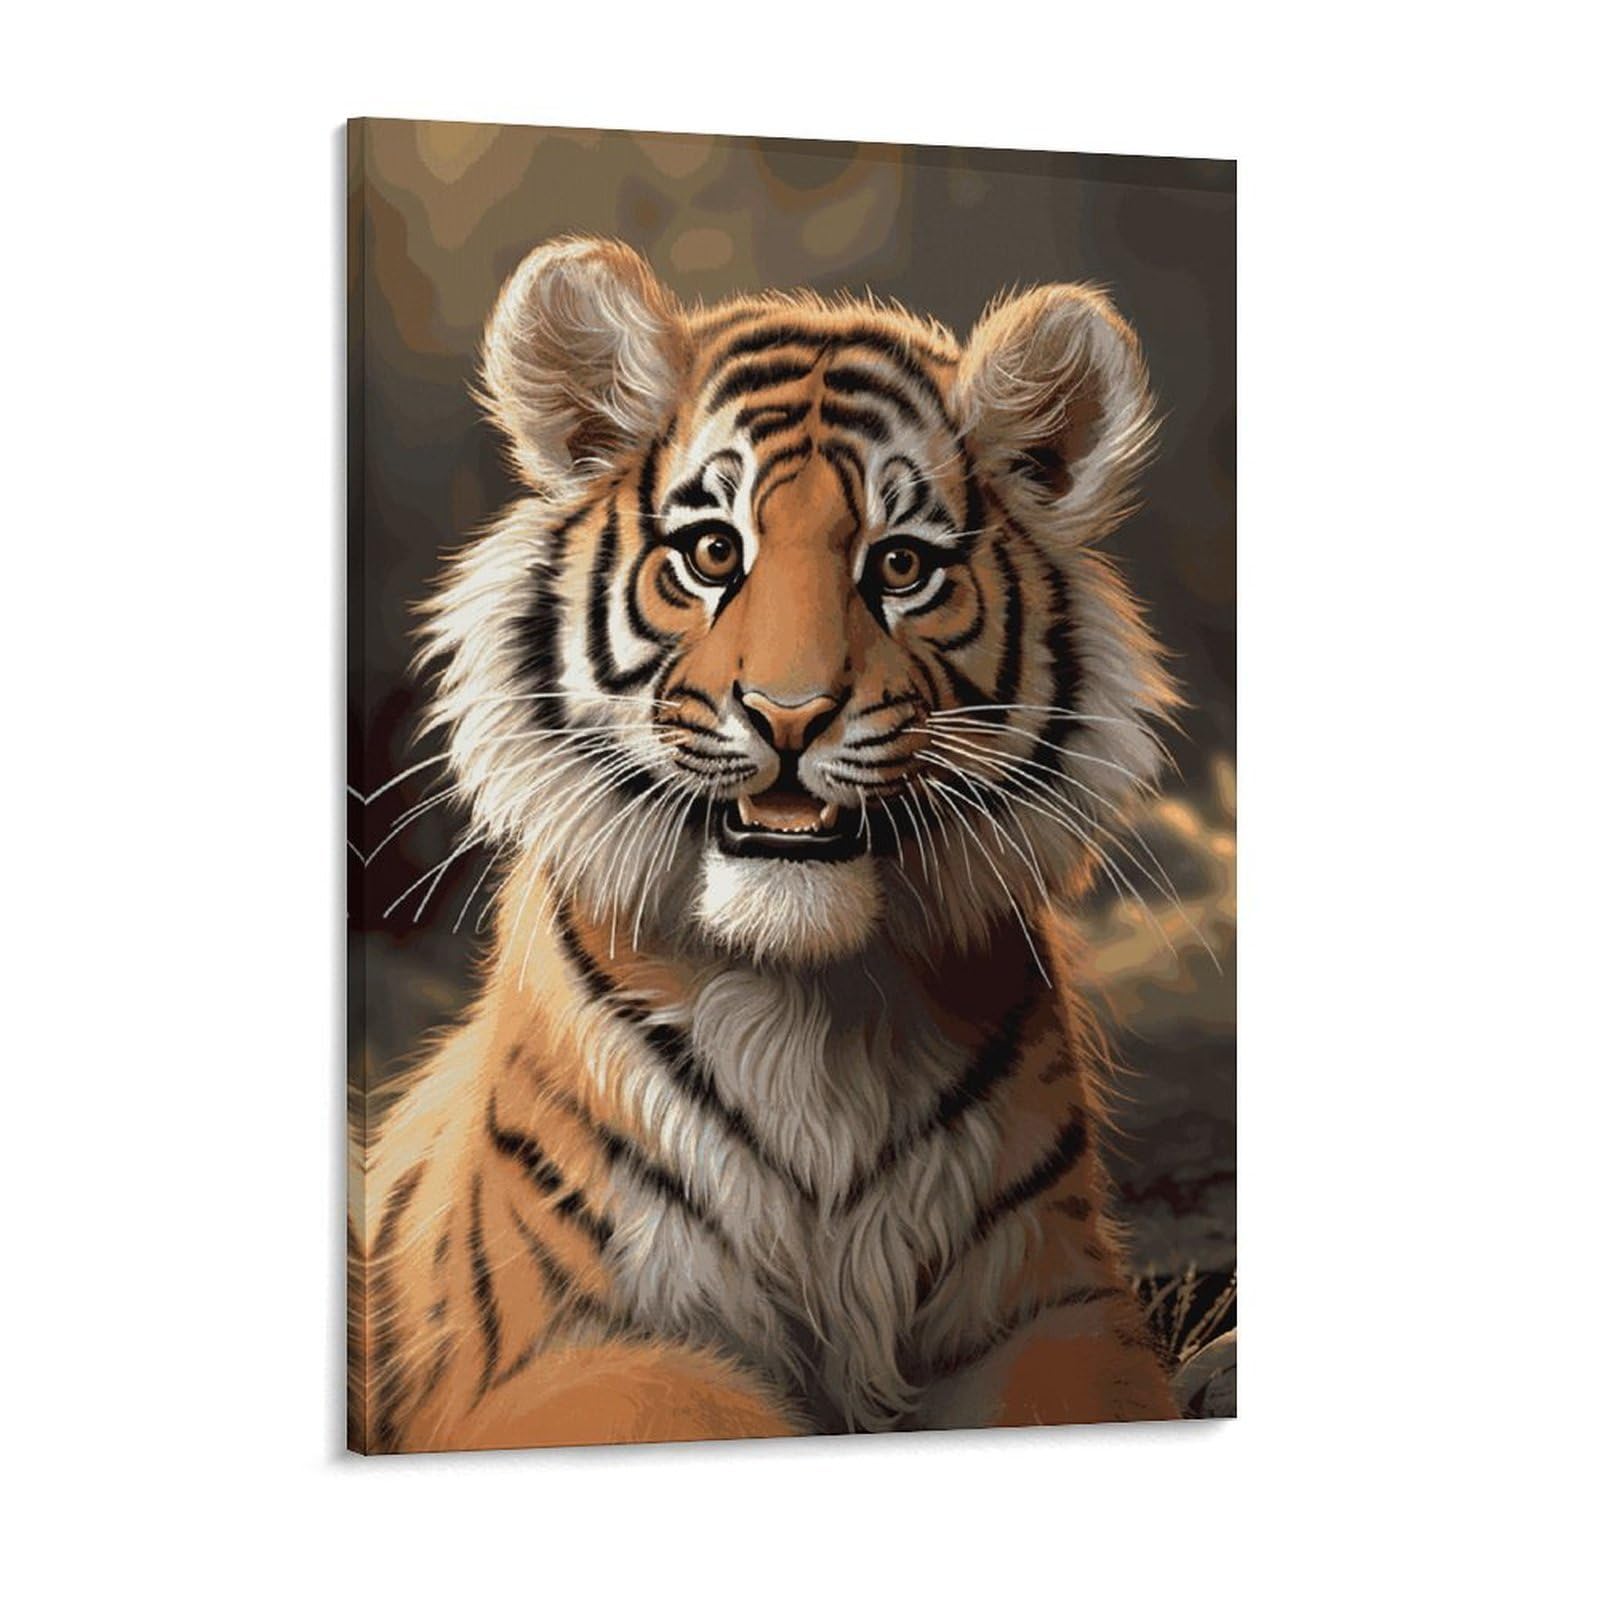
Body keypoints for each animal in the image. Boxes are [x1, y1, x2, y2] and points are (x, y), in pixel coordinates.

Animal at [349, 235, 1185, 1452]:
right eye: (711, 552)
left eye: (900, 566)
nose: (790, 717)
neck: (808, 1010)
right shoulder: (543, 1358)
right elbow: (700, 1403)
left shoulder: (1053, 1309)